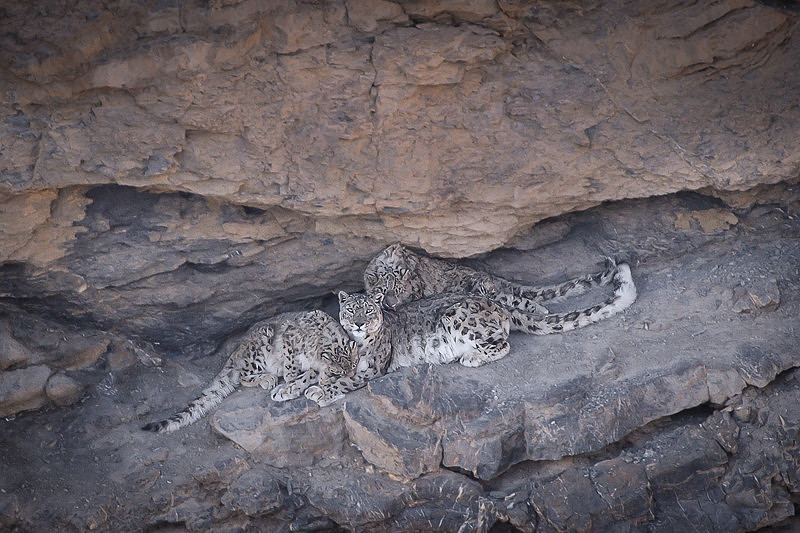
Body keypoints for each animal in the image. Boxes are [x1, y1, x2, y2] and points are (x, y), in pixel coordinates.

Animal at [142, 310, 360, 433]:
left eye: (354, 365)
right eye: (336, 372)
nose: (349, 378)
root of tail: (238, 349)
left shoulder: (312, 368)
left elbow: (307, 375)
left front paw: (291, 388)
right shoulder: (290, 339)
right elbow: (291, 361)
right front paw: (289, 378)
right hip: (259, 347)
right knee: (242, 375)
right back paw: (268, 378)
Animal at [339, 262, 636, 372]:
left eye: (368, 310)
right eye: (350, 310)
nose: (359, 323)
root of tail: (494, 304)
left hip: (459, 318)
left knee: (502, 343)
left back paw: (470, 357)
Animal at [363, 243, 617, 313]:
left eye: (400, 291)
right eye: (383, 291)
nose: (391, 304)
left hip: (480, 287)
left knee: (512, 298)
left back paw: (540, 309)